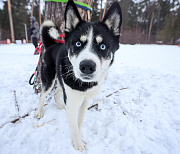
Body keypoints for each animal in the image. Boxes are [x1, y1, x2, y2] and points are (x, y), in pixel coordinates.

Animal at [35, 0, 121, 151]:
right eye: (78, 43)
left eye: (103, 46)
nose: (87, 66)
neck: (84, 85)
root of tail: (51, 44)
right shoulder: (72, 100)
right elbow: (74, 125)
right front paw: (78, 144)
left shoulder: (84, 100)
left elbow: (79, 121)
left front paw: (80, 137)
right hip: (49, 78)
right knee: (43, 94)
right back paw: (40, 111)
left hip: (61, 80)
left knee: (56, 94)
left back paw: (61, 106)